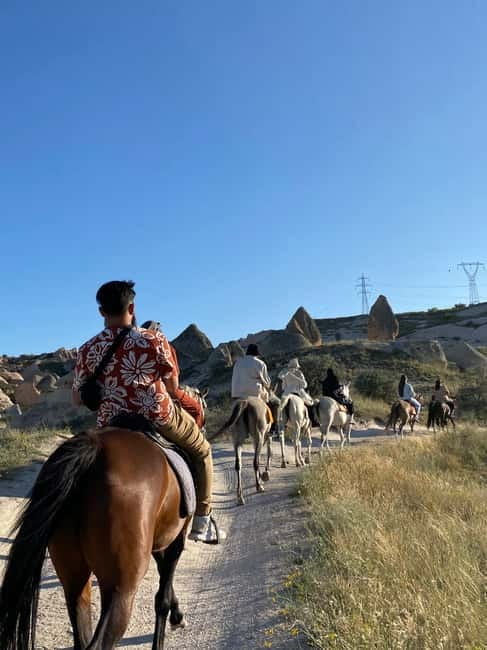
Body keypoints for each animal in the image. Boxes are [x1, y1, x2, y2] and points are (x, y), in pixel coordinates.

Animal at [0, 425, 194, 650]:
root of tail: (94, 450)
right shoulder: (175, 543)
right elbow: (162, 598)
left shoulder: (159, 545)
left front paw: (178, 616)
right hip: (121, 589)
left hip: (74, 579)